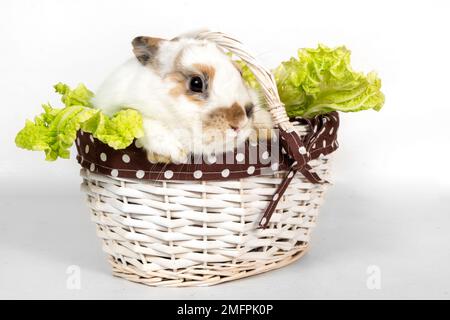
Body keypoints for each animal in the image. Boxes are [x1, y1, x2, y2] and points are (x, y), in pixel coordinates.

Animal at [92, 33, 272, 162]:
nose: (240, 122)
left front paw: (267, 130)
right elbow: (146, 123)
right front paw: (176, 153)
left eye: (240, 73)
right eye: (196, 83)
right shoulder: (120, 111)